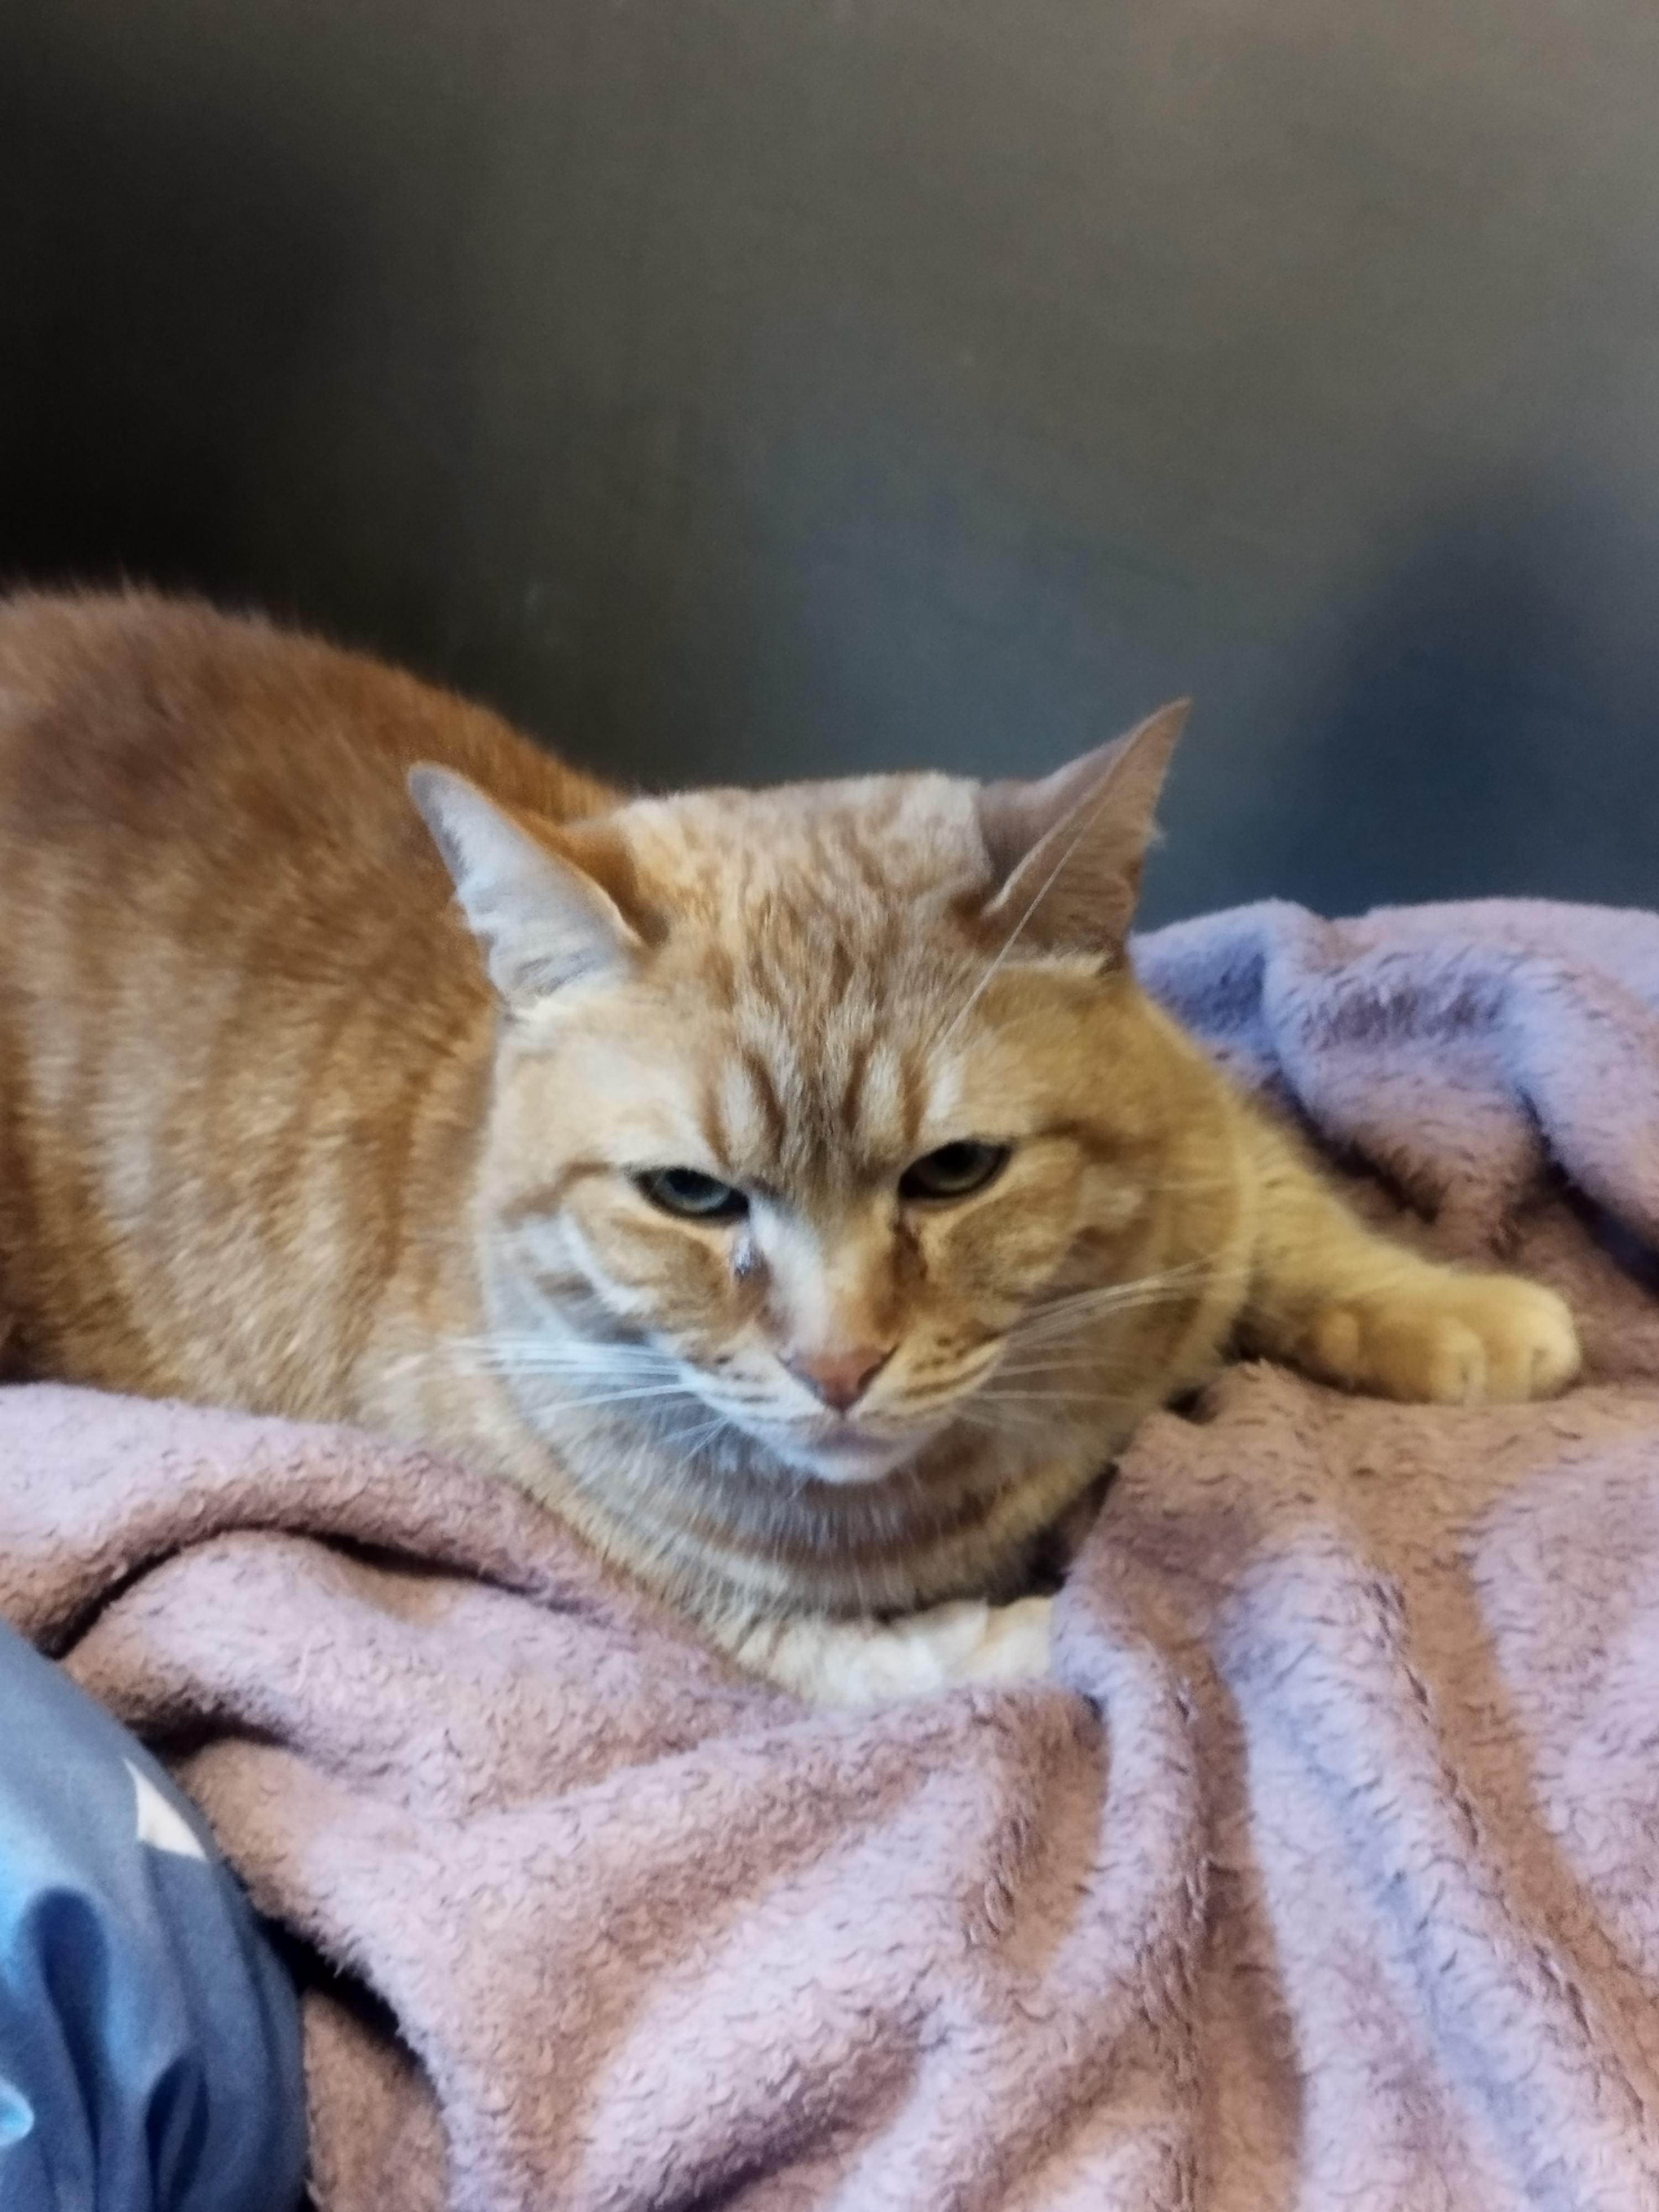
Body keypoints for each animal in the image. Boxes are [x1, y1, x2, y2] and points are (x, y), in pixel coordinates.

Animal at [0, 590, 1580, 1702]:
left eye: (953, 1171)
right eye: (691, 1196)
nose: (837, 1365)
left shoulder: (1216, 1152)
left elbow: (1300, 1218)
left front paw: (1463, 1315)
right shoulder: (672, 1585)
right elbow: (947, 1651)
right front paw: (1069, 1621)